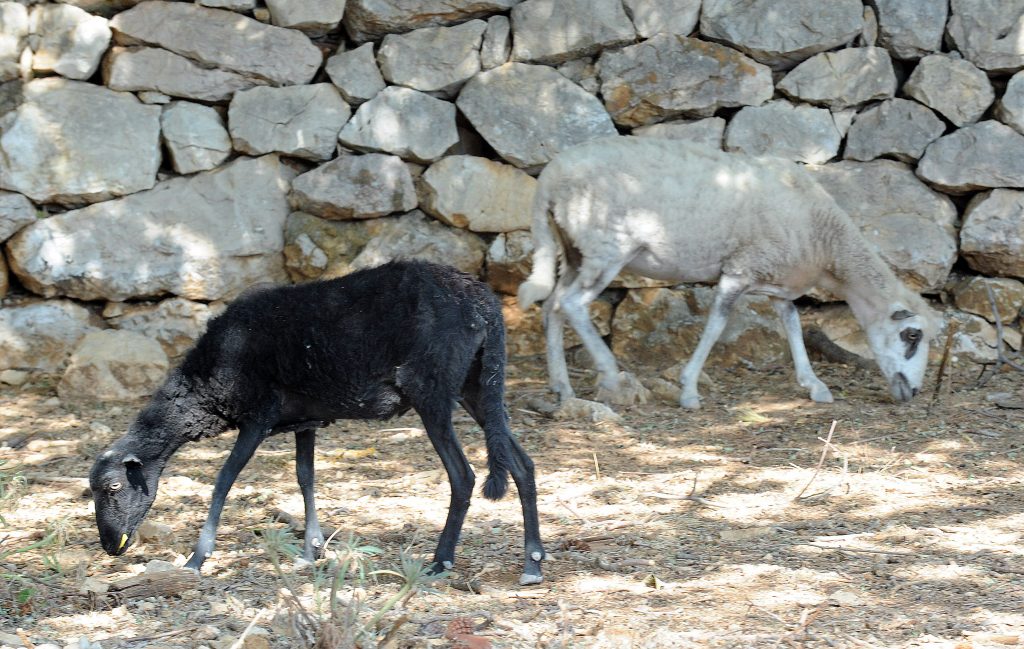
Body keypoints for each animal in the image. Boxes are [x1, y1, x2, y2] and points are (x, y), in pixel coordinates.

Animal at [90, 260, 544, 585]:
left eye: (113, 487)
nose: (109, 546)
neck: (204, 384)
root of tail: (483, 303)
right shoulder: (305, 421)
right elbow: (305, 477)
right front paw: (311, 550)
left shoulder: (257, 418)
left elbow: (224, 480)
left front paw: (197, 558)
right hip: (477, 386)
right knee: (522, 464)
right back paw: (533, 562)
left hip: (431, 392)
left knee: (463, 476)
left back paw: (441, 561)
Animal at [520, 137, 937, 407]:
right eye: (912, 335)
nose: (914, 393)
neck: (825, 239)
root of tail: (549, 179)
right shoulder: (740, 270)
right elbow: (717, 325)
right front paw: (689, 389)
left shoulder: (778, 282)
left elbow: (793, 327)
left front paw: (814, 385)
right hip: (606, 248)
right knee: (572, 304)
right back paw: (608, 371)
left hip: (574, 250)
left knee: (552, 306)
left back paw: (562, 388)